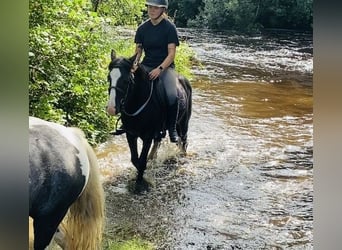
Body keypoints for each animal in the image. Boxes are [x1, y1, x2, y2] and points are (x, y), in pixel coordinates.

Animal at [106, 49, 191, 193]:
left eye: (126, 81)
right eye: (109, 78)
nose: (111, 109)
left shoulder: (147, 136)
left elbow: (141, 160)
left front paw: (141, 184)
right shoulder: (131, 134)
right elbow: (135, 159)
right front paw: (140, 178)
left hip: (183, 124)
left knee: (183, 142)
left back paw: (181, 158)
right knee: (158, 141)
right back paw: (153, 157)